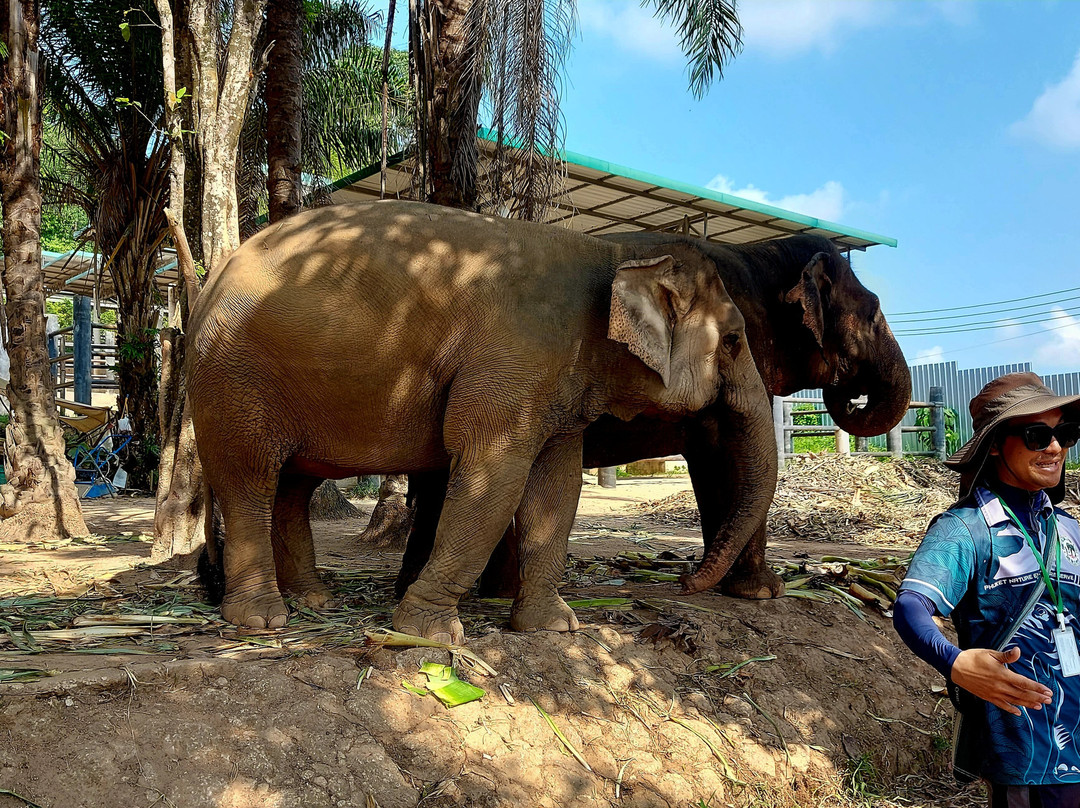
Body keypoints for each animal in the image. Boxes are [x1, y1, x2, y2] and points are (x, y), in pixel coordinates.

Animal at [186, 200, 776, 643]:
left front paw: (552, 628)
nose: (685, 579)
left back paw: (314, 598)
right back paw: (262, 618)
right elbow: (493, 472)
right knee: (250, 479)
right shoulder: (514, 360)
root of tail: (207, 280)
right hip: (234, 378)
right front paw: (428, 633)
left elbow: (557, 486)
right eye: (734, 340)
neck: (615, 252)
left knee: (292, 485)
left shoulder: (559, 379)